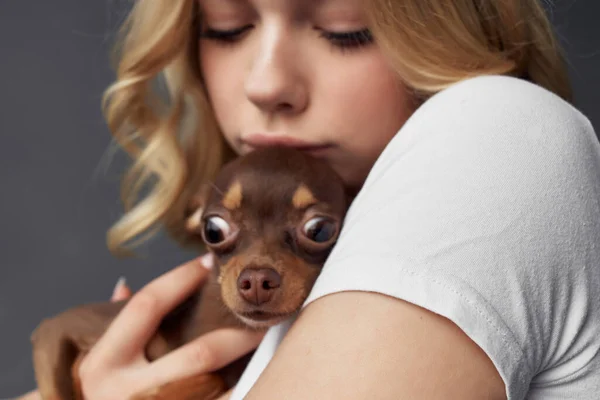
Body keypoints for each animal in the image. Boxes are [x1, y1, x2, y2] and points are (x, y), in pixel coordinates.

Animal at [30, 147, 350, 400]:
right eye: (213, 229)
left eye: (319, 230)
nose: (258, 280)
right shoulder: (53, 331)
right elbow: (56, 388)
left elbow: (209, 378)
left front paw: (154, 394)